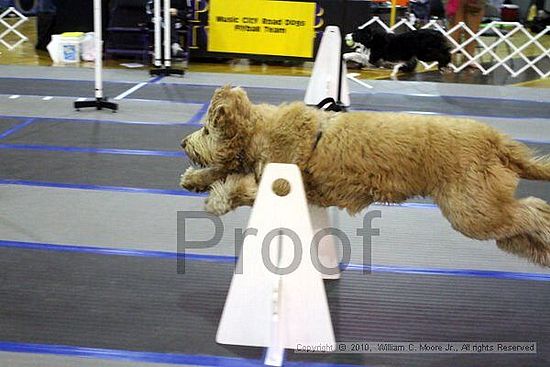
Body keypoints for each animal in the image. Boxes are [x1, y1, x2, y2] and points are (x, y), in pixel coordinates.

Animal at [182, 85, 550, 268]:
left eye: (207, 129)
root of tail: (494, 138)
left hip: (472, 210)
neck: (262, 129)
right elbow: (225, 169)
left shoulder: (281, 182)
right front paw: (195, 178)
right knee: (517, 229)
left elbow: (240, 186)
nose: (183, 143)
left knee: (533, 210)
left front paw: (217, 198)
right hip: (482, 209)